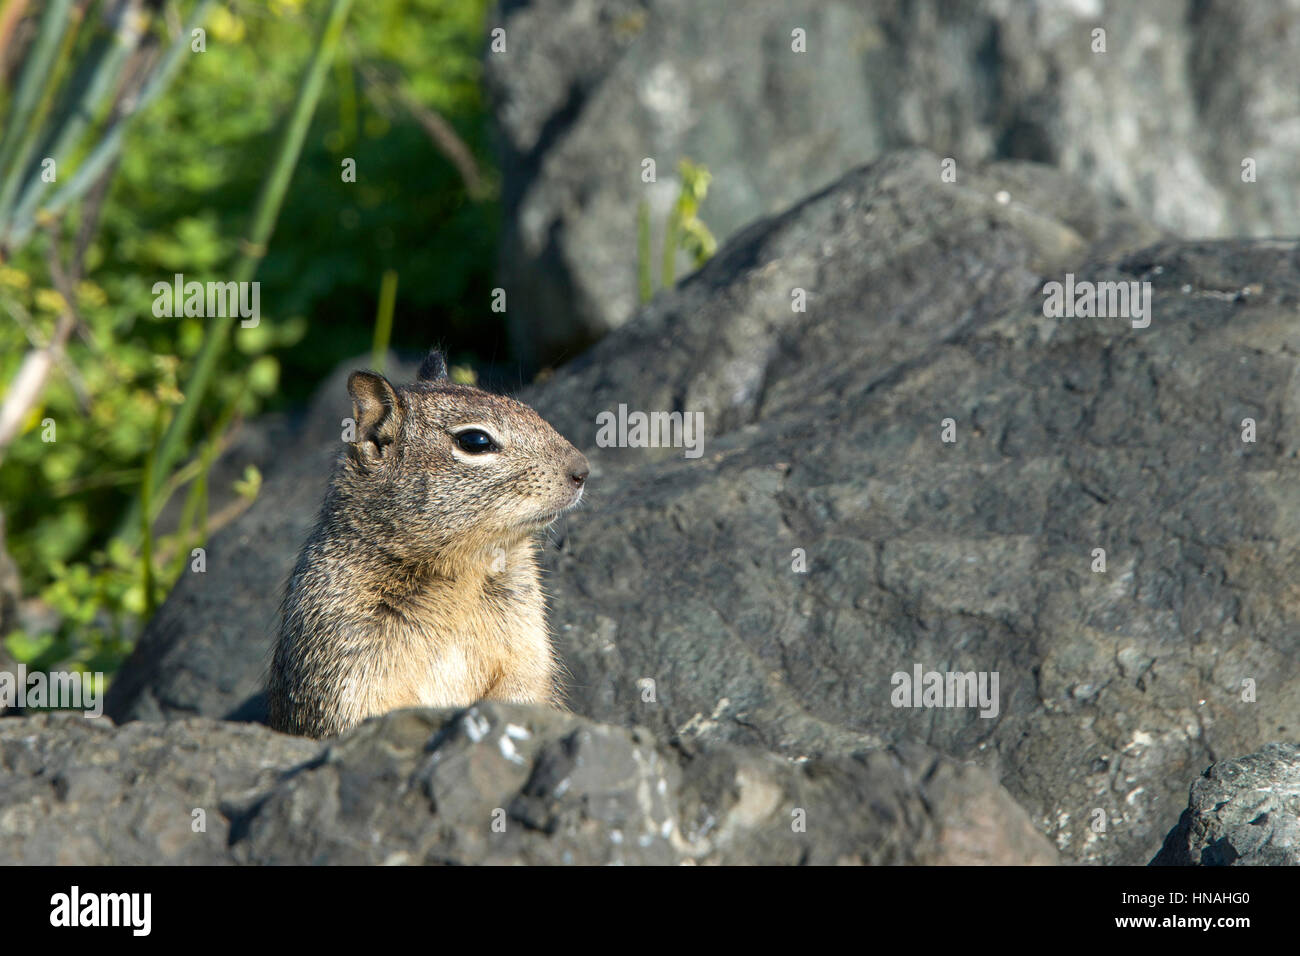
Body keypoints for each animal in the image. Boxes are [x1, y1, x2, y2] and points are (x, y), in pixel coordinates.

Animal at [265, 351, 590, 738]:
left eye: (525, 407)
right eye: (475, 441)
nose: (582, 470)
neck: (462, 570)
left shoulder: (528, 641)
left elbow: (525, 686)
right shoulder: (344, 654)